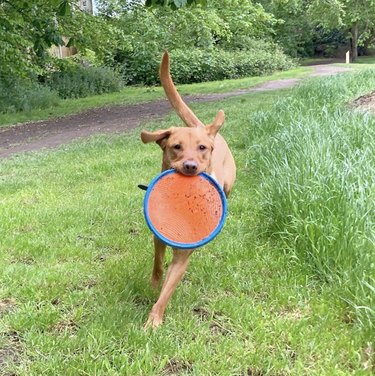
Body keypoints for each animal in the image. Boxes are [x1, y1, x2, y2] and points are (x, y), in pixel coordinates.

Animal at [141, 53, 235, 328]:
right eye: (176, 146)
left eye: (202, 148)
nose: (191, 166)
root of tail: (207, 128)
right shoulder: (158, 237)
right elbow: (158, 266)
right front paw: (153, 286)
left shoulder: (183, 256)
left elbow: (167, 292)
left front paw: (153, 320)